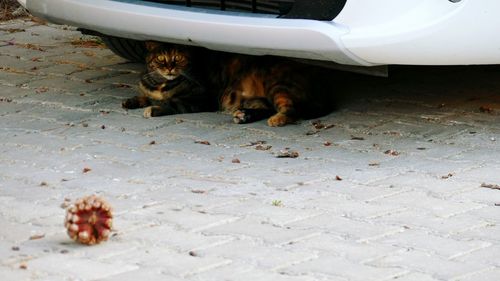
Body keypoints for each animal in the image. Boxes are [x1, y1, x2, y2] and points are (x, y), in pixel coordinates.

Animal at [121, 41, 334, 126]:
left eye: (178, 58)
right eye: (160, 59)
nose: (170, 69)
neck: (162, 83)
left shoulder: (201, 98)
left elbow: (172, 102)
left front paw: (154, 108)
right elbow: (145, 96)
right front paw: (132, 101)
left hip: (277, 85)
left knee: (291, 109)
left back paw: (277, 119)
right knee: (267, 107)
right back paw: (244, 115)